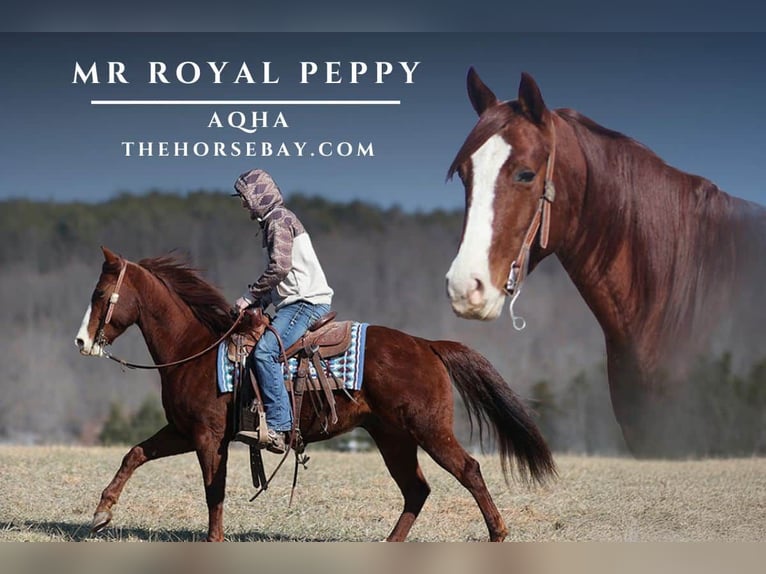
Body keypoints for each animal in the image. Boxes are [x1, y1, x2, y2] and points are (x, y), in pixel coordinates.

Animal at [74, 246, 555, 541]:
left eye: (99, 293)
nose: (82, 342)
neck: (197, 347)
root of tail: (427, 344)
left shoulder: (208, 438)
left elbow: (214, 491)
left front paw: (213, 539)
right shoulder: (182, 431)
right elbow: (134, 454)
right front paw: (101, 513)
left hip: (429, 430)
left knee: (469, 470)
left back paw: (498, 533)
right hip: (393, 438)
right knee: (416, 489)